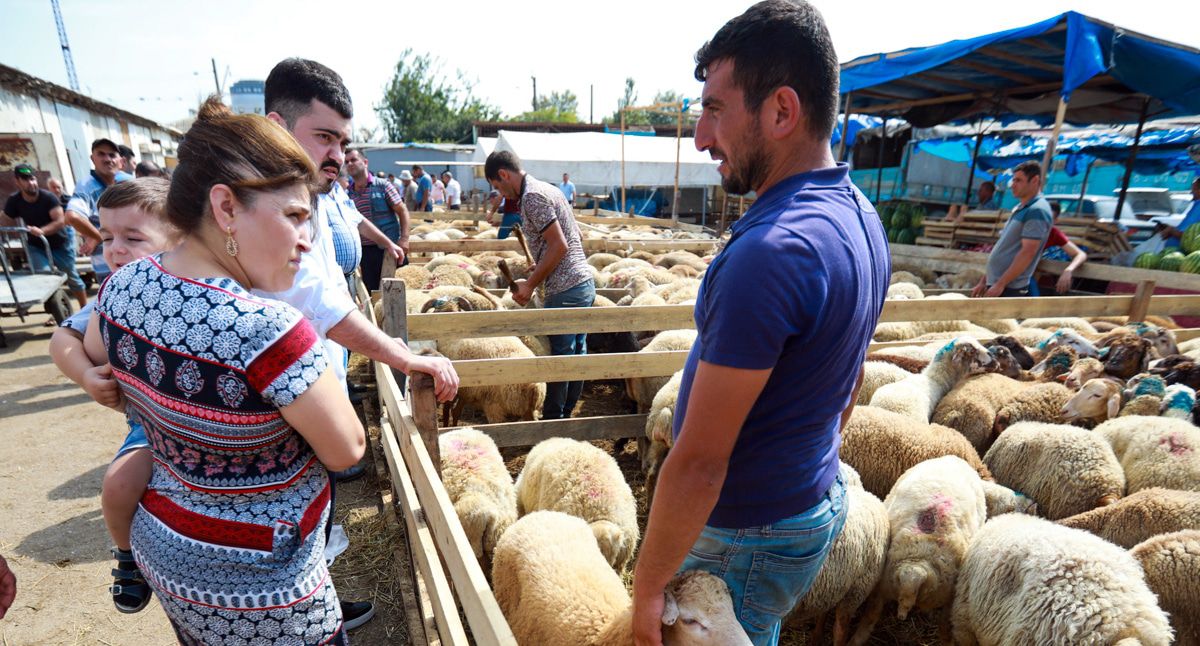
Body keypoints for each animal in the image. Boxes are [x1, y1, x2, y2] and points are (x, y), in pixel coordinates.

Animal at [787, 464, 888, 646]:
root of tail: (874, 498)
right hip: (833, 584)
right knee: (825, 610)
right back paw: (816, 637)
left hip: (856, 589)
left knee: (841, 629)